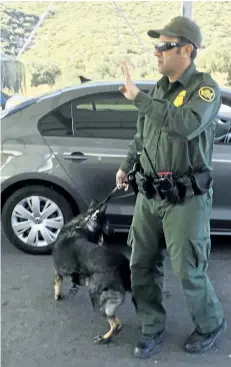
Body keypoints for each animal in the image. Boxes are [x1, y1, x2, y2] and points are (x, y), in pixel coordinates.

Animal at [52, 200, 135, 344]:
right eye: (107, 221)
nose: (113, 231)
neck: (79, 226)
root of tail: (122, 265)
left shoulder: (58, 271)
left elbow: (57, 282)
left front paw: (57, 294)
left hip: (98, 301)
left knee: (115, 323)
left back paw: (103, 338)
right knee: (119, 324)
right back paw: (108, 337)